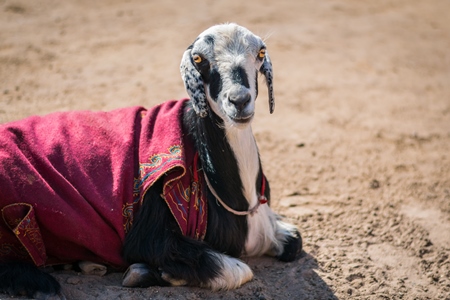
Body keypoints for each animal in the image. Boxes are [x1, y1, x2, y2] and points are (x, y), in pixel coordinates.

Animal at [0, 23, 302, 298]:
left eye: (260, 53)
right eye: (199, 59)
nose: (239, 100)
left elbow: (294, 242)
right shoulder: (148, 234)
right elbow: (238, 270)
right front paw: (153, 273)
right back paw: (41, 284)